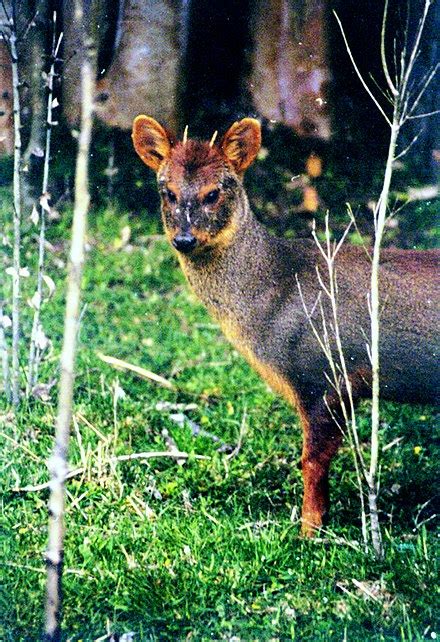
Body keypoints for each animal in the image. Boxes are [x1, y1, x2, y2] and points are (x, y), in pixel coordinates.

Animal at [131, 116, 440, 536]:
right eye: (168, 192)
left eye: (214, 193)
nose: (184, 239)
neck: (276, 294)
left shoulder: (325, 376)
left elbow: (312, 463)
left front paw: (310, 532)